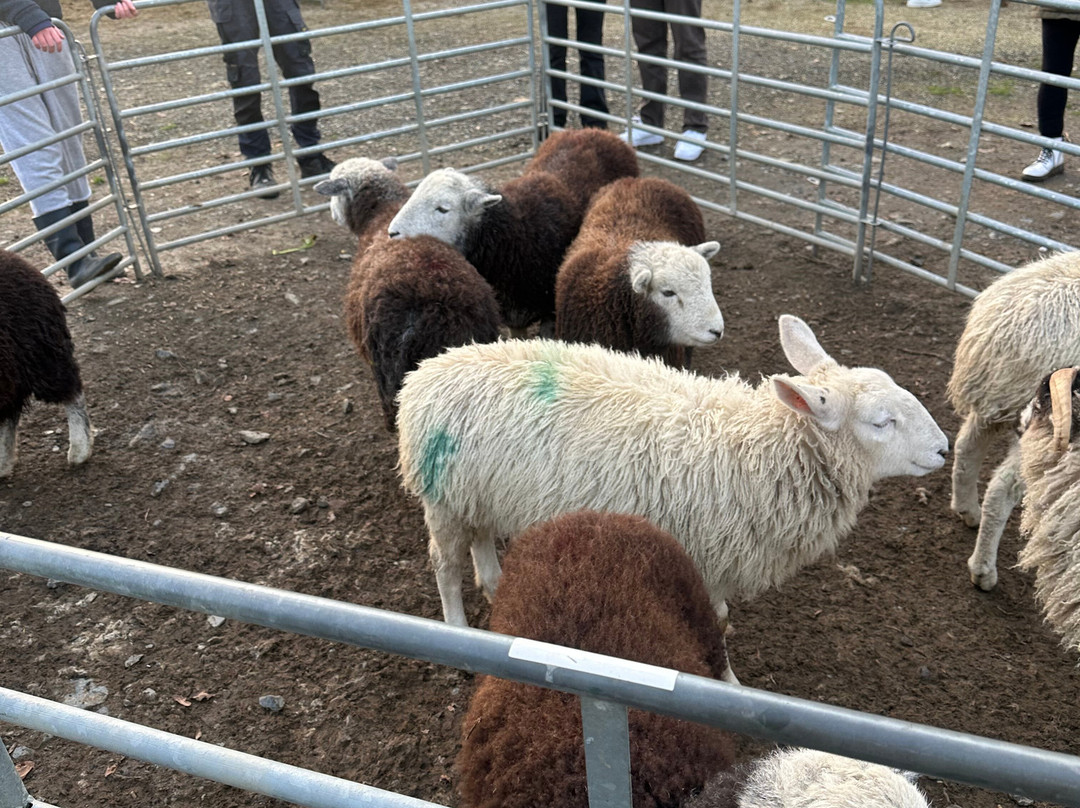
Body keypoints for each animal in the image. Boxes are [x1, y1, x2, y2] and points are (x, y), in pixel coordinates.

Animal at [386, 129, 639, 337]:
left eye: (442, 209)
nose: (392, 233)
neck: (515, 235)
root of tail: (594, 130)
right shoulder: (513, 315)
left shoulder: (548, 310)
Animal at [395, 314, 949, 663]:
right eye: (881, 422)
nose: (944, 447)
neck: (756, 448)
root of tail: (428, 371)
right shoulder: (704, 561)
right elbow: (713, 628)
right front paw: (728, 681)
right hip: (441, 498)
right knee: (445, 564)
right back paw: (456, 631)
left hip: (474, 492)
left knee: (481, 537)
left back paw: (493, 586)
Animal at [946, 250, 1080, 591]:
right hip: (1045, 426)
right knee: (1000, 492)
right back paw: (983, 571)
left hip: (993, 403)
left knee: (964, 449)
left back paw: (967, 510)